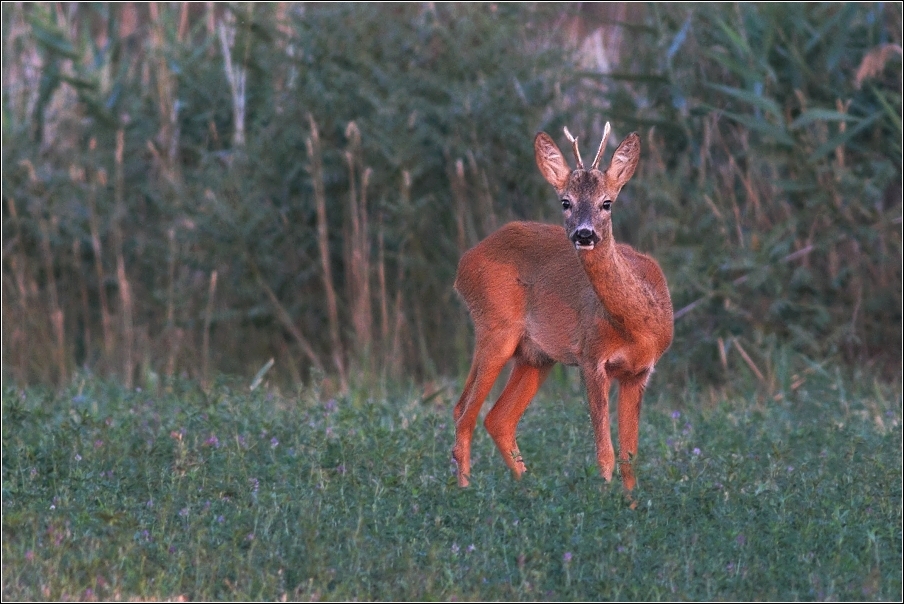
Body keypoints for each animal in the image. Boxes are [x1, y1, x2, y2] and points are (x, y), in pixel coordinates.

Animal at [452, 121, 672, 490]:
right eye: (566, 202)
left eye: (607, 203)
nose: (584, 234)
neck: (638, 325)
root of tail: (463, 263)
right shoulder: (591, 357)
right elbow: (605, 453)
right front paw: (604, 497)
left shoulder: (639, 372)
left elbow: (630, 456)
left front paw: (630, 502)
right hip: (496, 329)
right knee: (464, 412)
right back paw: (466, 492)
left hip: (535, 356)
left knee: (497, 418)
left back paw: (529, 490)